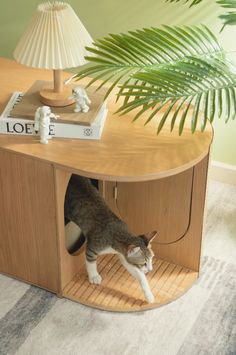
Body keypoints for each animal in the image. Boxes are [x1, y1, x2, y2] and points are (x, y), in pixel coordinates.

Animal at [63, 175, 158, 304]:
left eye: (151, 259)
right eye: (143, 263)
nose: (151, 270)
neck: (118, 233)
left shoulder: (123, 255)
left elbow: (139, 275)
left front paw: (148, 295)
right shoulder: (93, 247)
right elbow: (90, 261)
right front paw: (94, 276)